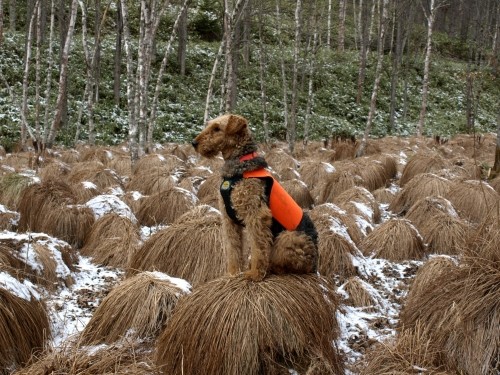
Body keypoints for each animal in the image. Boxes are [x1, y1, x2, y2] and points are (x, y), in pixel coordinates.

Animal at [191, 114, 316, 282]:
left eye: (217, 128)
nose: (194, 143)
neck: (240, 164)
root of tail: (316, 263)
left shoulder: (256, 215)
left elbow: (258, 248)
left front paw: (255, 274)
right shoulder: (228, 220)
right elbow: (233, 249)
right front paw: (232, 273)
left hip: (288, 237)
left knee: (291, 266)